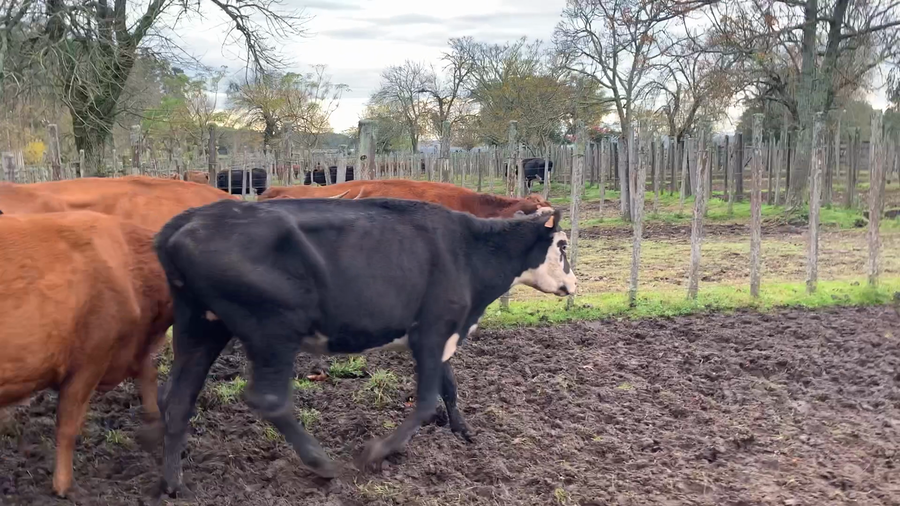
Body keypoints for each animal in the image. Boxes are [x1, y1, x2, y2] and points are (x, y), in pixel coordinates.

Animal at [0, 211, 172, 497]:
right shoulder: (92, 354)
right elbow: (67, 423)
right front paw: (63, 488)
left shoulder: (125, 350)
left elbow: (148, 373)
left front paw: (154, 427)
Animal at [152, 197, 577, 497]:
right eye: (563, 246)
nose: (575, 285)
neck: (468, 251)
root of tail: (187, 221)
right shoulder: (432, 330)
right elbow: (426, 400)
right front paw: (377, 452)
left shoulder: (443, 333)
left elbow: (449, 386)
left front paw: (463, 430)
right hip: (273, 327)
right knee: (268, 399)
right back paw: (321, 463)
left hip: (200, 325)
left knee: (177, 397)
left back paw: (175, 484)